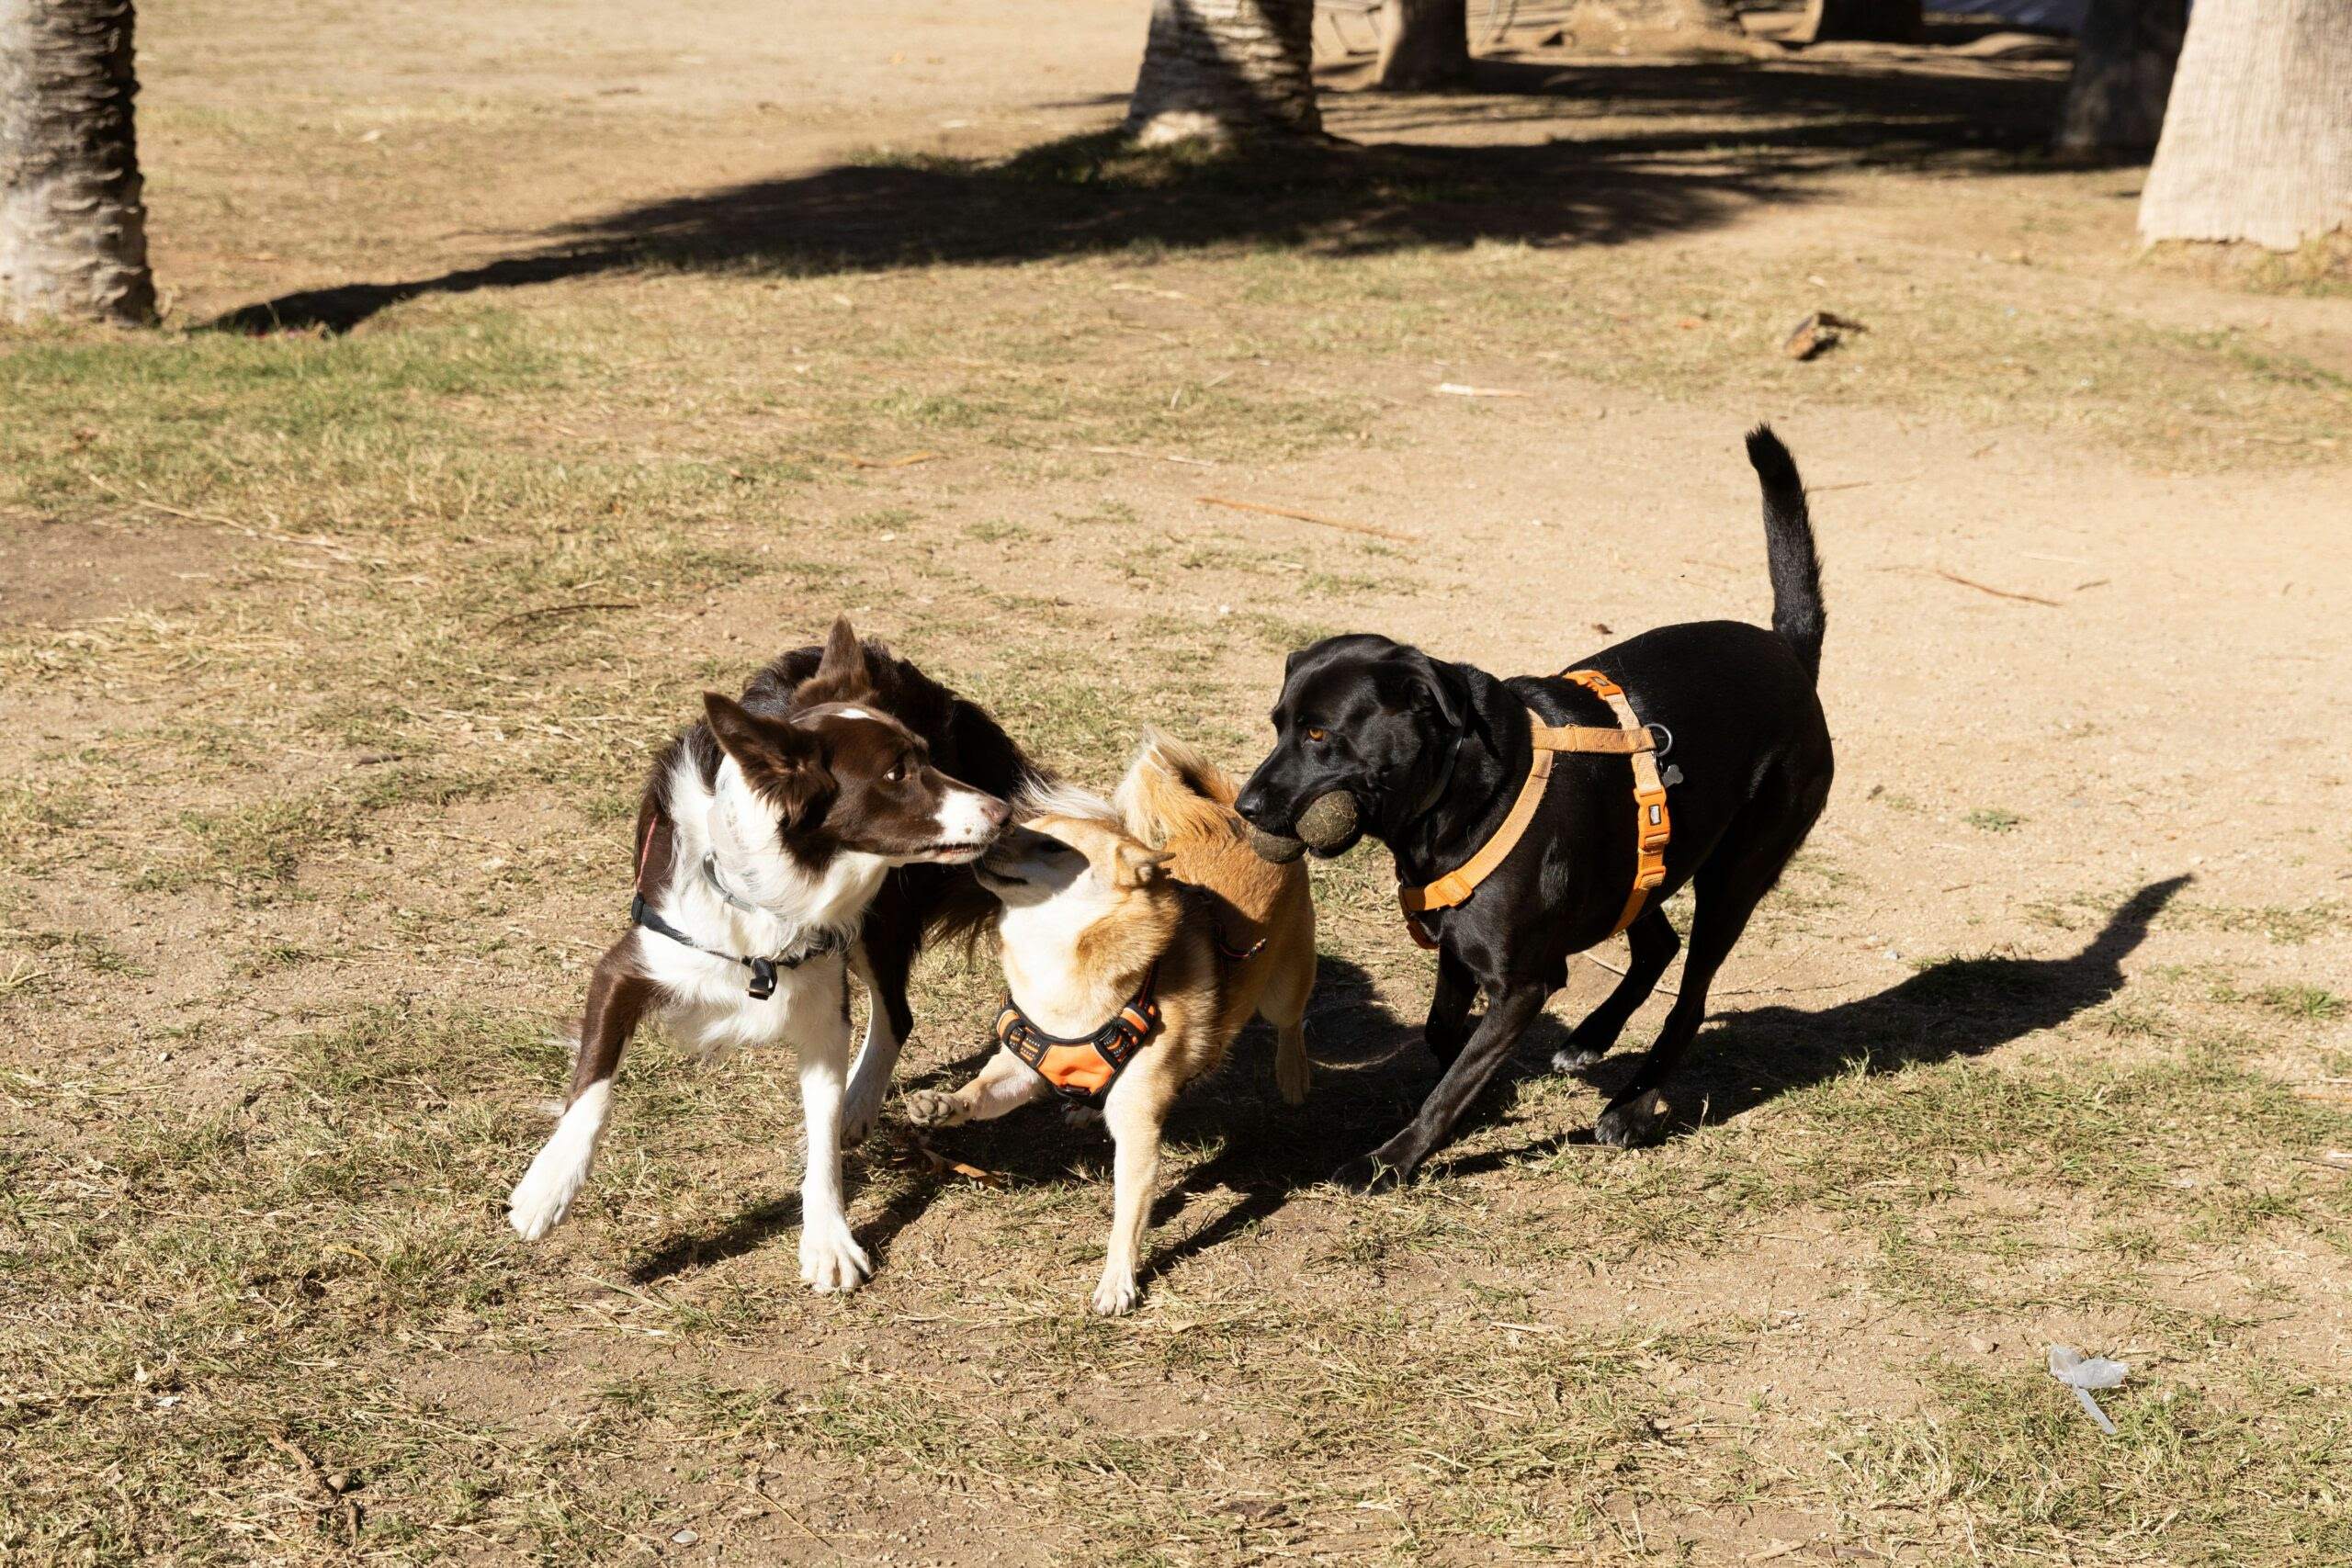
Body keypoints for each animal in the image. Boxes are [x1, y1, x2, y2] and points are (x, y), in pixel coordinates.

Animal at [903, 738, 1317, 1316]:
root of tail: (1232, 817)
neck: (1056, 960)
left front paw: (1118, 1279)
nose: (984, 843)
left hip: (1283, 985)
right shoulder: (1021, 1067)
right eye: (1014, 829)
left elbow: (1128, 1214)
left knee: (1292, 1021)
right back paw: (1081, 1105)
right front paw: (943, 1104)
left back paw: (1293, 1074)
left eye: (1050, 846)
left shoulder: (1137, 1128)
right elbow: (982, 1091)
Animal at [1232, 430, 1834, 1189]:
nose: (1245, 804)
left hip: (1737, 874)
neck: (1461, 796)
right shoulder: (1463, 950)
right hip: (1632, 859)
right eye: (1278, 723)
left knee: (1691, 996)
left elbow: (1452, 1084)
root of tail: (1790, 653)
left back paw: (1632, 1107)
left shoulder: (1524, 981)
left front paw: (1392, 1159)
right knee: (1658, 942)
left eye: (1318, 733)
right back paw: (1591, 1038)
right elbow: (1443, 1037)